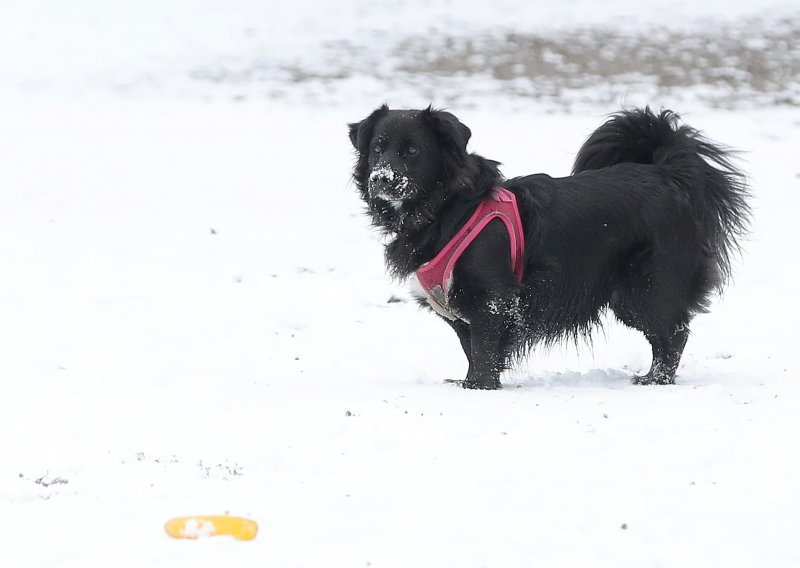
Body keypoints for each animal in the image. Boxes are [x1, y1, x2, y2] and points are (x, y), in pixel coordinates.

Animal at [348, 105, 752, 390]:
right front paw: (469, 382)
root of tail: (669, 175)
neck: (449, 208)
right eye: (379, 148)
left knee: (674, 333)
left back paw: (656, 380)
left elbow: (483, 350)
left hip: (646, 287)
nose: (381, 179)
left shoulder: (493, 299)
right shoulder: (464, 307)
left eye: (413, 151)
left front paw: (479, 388)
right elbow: (471, 349)